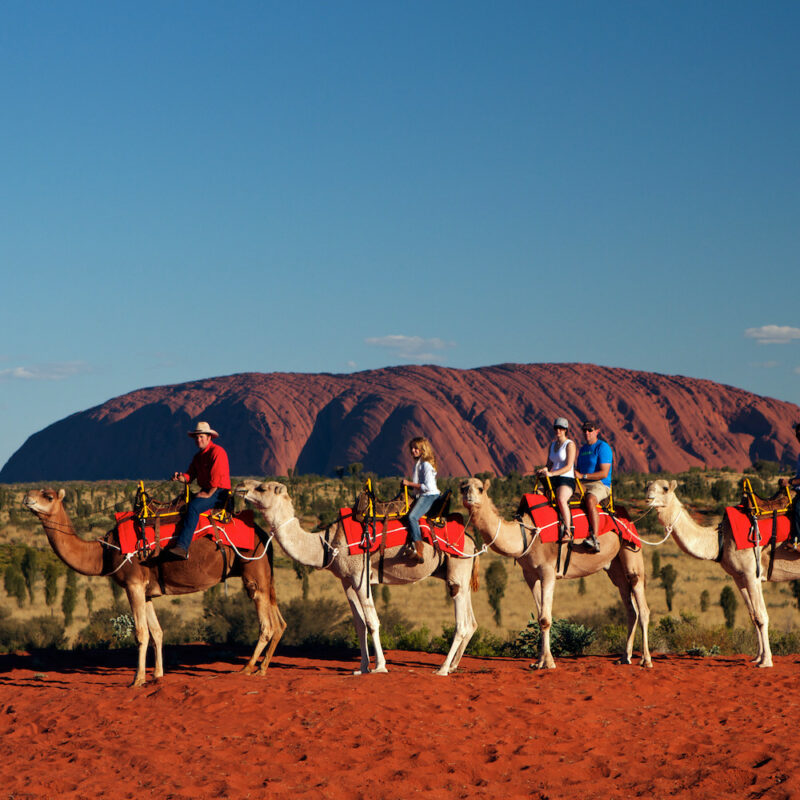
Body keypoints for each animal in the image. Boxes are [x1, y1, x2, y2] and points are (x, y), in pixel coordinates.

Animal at [23, 488, 286, 688]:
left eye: (48, 496)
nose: (27, 498)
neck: (104, 552)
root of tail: (263, 534)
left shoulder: (133, 584)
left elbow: (141, 632)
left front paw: (137, 679)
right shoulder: (147, 591)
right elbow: (157, 632)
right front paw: (157, 675)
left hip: (252, 569)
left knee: (266, 623)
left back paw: (247, 668)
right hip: (265, 574)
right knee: (279, 620)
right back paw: (262, 668)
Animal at [234, 482, 478, 676]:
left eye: (262, 488)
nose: (240, 486)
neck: (327, 543)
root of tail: (471, 541)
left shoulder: (360, 575)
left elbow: (372, 622)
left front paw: (380, 667)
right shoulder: (347, 581)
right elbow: (360, 624)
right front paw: (361, 668)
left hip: (457, 570)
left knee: (462, 623)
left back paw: (442, 669)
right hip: (460, 576)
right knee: (472, 622)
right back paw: (453, 666)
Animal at [460, 478, 652, 672]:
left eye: (480, 488)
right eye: (463, 488)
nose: (469, 497)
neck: (526, 534)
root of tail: (625, 517)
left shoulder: (548, 570)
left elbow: (545, 619)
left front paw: (549, 663)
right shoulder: (530, 574)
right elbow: (539, 617)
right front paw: (538, 662)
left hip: (631, 550)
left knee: (641, 604)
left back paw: (646, 660)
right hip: (615, 567)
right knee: (630, 607)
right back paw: (624, 657)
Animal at [648, 476, 796, 668]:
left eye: (665, 488)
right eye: (647, 486)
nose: (648, 498)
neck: (720, 538)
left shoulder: (752, 573)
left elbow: (761, 616)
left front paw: (766, 661)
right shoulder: (739, 577)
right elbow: (753, 616)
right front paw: (757, 657)